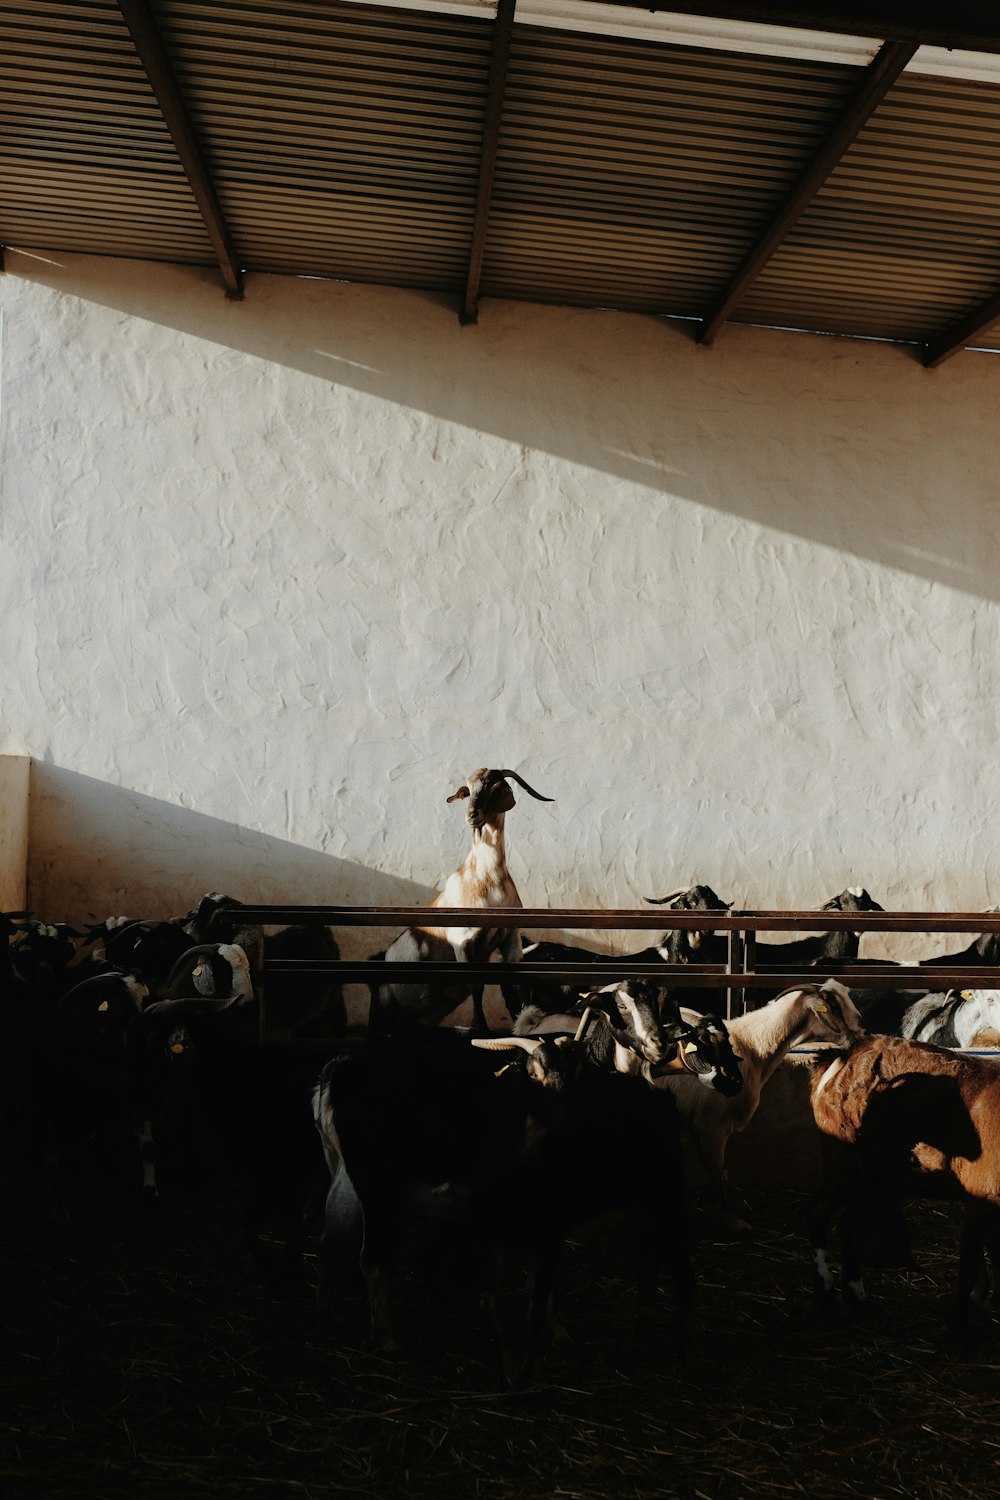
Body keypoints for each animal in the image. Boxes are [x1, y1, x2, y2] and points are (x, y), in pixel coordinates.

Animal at [370, 768, 554, 1038]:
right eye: (468, 790)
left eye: (495, 788)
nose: (471, 815)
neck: (487, 880)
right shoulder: (463, 940)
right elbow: (477, 986)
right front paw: (481, 1029)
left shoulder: (510, 937)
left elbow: (518, 984)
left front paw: (525, 1022)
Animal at [656, 984, 869, 1230]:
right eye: (833, 1005)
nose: (863, 1031)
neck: (751, 1046)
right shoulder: (710, 1125)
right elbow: (719, 1174)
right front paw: (732, 1221)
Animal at [809, 1032, 1000, 1338]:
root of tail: (841, 1057)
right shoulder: (981, 1198)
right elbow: (970, 1262)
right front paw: (958, 1322)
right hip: (847, 1163)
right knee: (819, 1214)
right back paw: (825, 1289)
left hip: (872, 1175)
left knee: (847, 1223)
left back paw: (856, 1294)